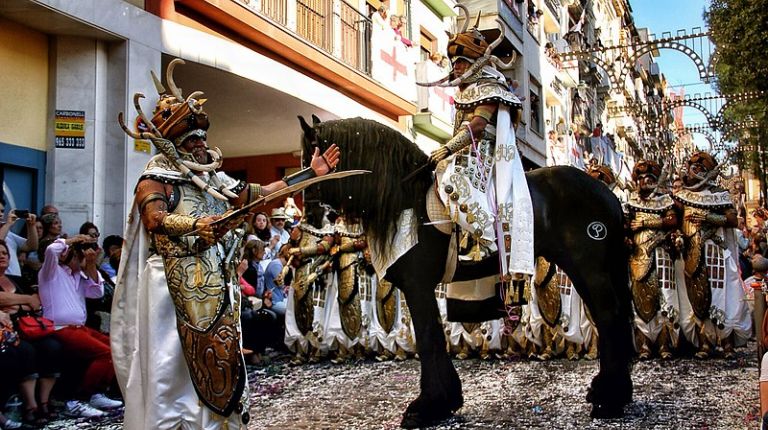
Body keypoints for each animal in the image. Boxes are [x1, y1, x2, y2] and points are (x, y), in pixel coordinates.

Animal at [296, 116, 632, 428]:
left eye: (312, 158)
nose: (311, 215)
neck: (405, 200)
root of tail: (606, 194)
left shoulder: (417, 285)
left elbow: (428, 338)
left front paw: (427, 407)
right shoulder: (421, 288)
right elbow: (432, 335)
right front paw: (445, 400)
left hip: (589, 267)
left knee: (608, 315)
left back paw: (610, 400)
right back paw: (607, 391)